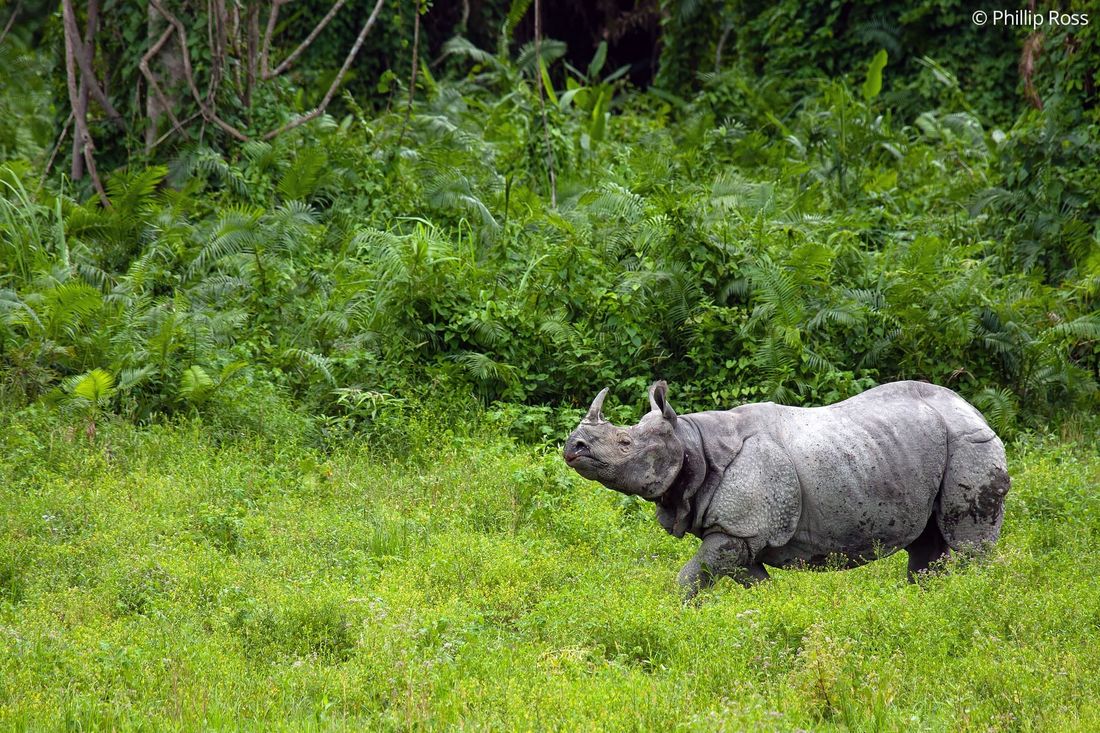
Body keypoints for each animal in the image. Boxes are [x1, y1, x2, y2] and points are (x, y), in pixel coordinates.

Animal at [563, 380, 1009, 597]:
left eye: (625, 443)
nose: (573, 446)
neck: (691, 442)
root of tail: (974, 410)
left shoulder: (738, 529)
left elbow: (689, 578)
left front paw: (671, 614)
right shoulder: (739, 533)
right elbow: (752, 582)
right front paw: (772, 610)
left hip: (970, 443)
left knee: (969, 545)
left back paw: (976, 599)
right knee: (926, 546)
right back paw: (924, 604)